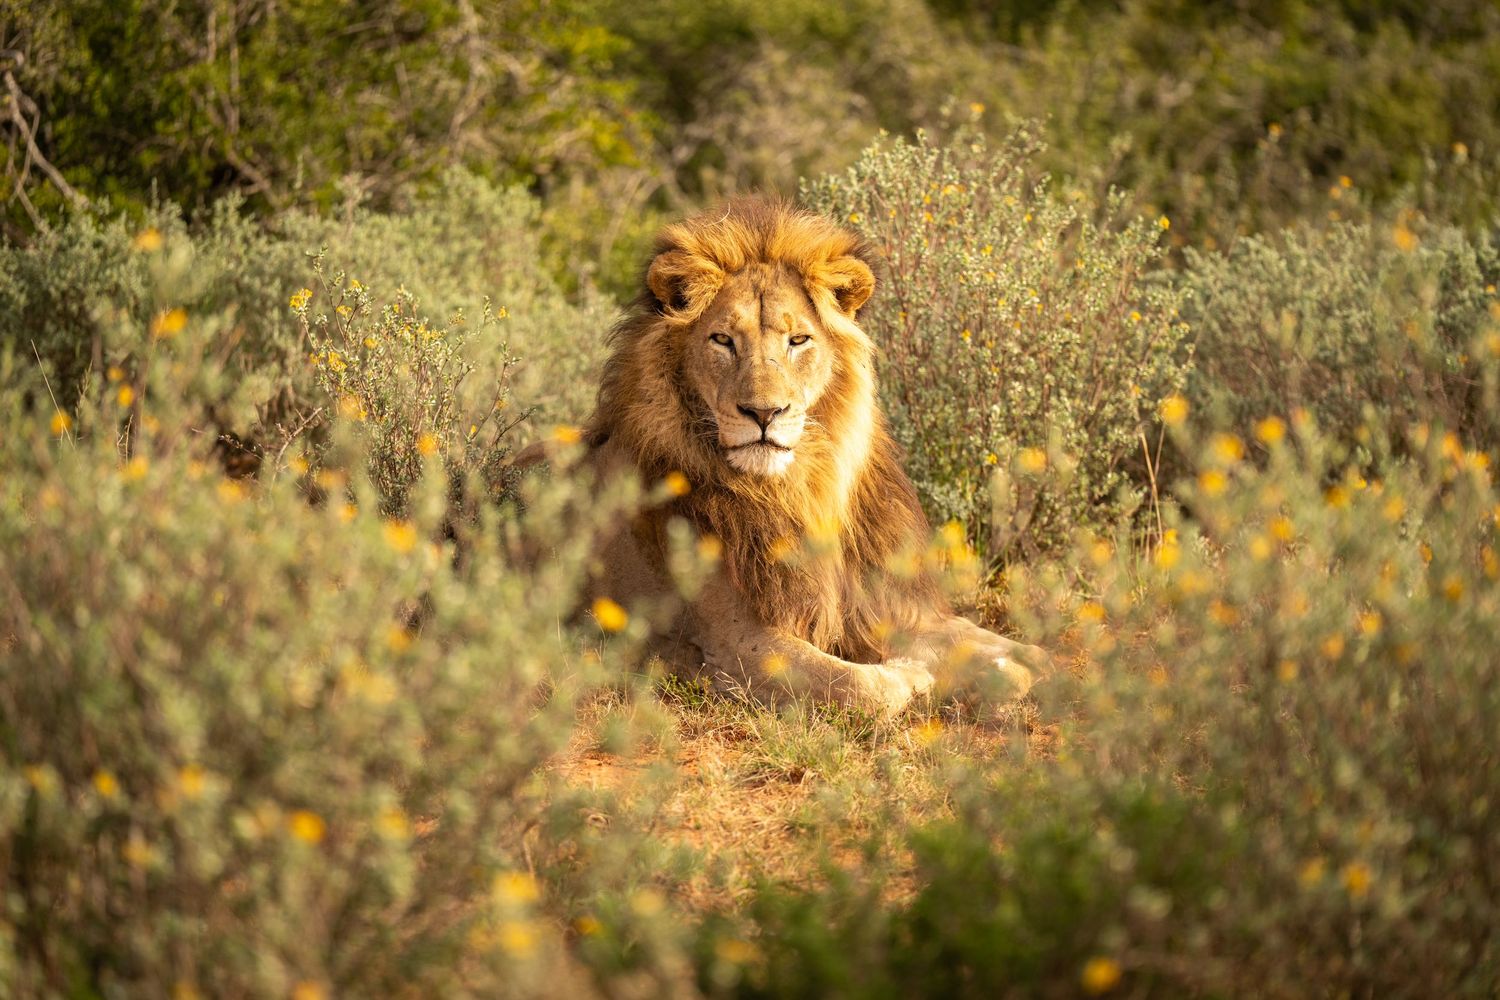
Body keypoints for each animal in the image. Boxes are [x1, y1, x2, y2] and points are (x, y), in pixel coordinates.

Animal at [577, 197, 1049, 718]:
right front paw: (917, 677)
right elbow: (861, 685)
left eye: (797, 340)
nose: (764, 412)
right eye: (722, 340)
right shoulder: (734, 644)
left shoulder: (882, 606)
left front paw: (1015, 667)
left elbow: (1009, 648)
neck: (801, 490)